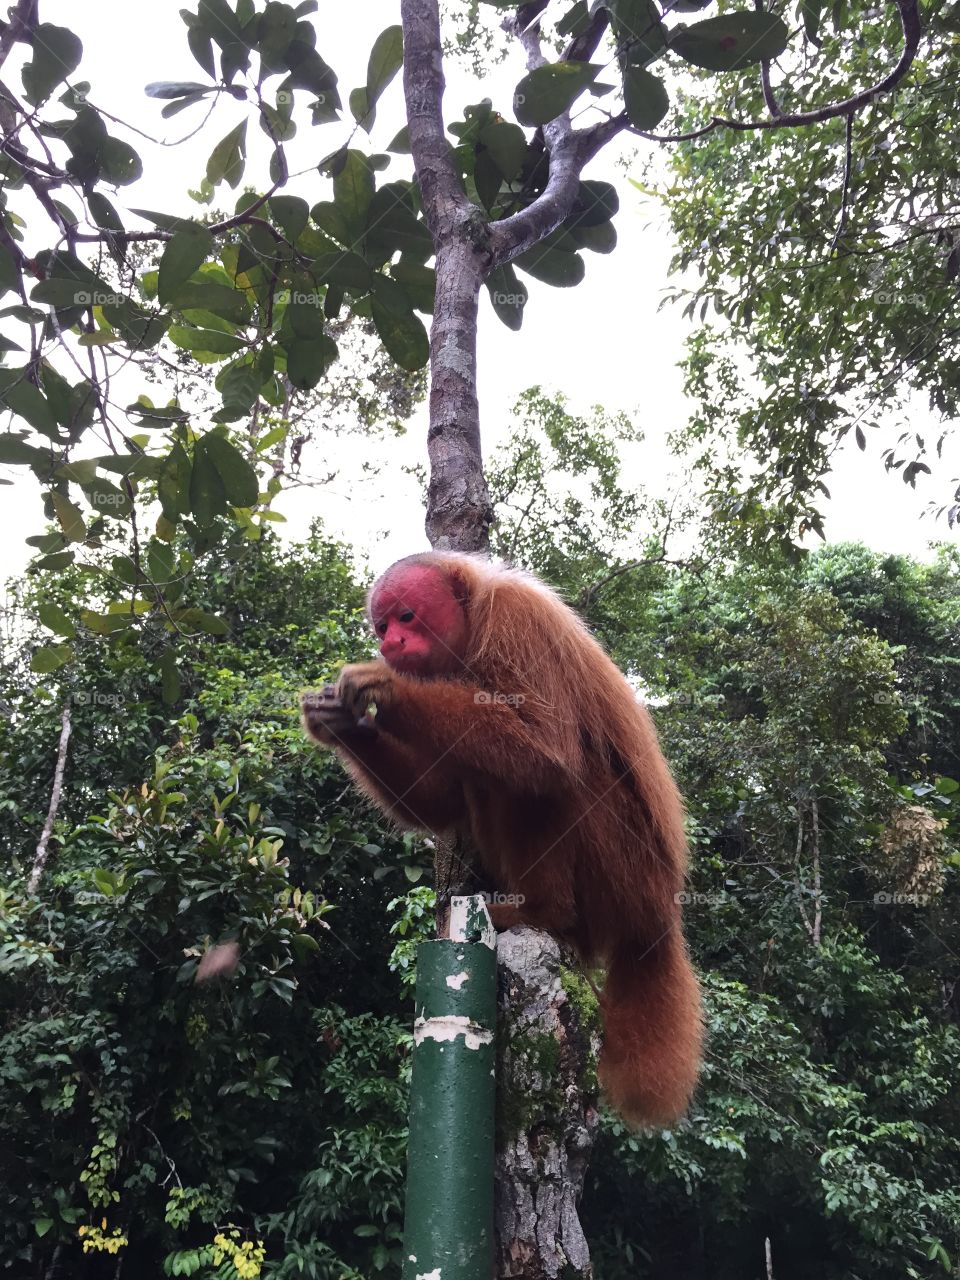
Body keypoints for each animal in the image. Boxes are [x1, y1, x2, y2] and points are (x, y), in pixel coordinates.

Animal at [301, 552, 702, 1127]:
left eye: (406, 617)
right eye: (381, 625)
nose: (390, 644)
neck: (470, 629)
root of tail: (661, 920)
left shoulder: (517, 624)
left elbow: (545, 750)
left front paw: (384, 688)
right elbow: (441, 804)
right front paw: (339, 723)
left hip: (628, 875)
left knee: (554, 779)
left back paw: (542, 910)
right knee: (486, 778)